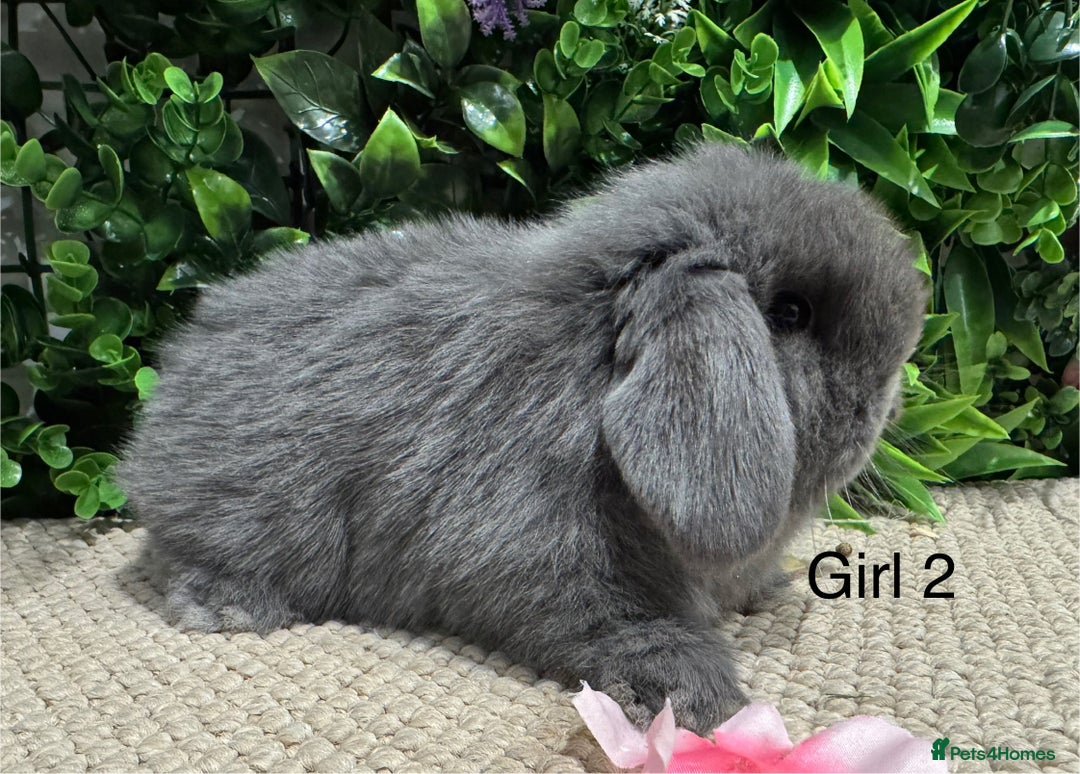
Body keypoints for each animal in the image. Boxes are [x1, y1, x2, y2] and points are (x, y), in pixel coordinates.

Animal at [117, 142, 928, 734]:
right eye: (790, 313)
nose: (892, 395)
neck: (591, 374)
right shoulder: (545, 563)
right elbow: (630, 629)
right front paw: (701, 702)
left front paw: (769, 591)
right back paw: (227, 608)